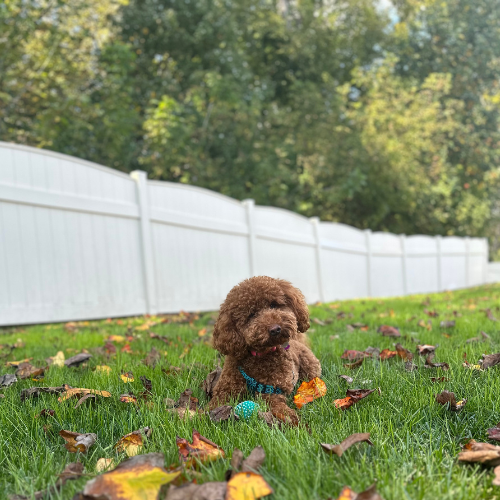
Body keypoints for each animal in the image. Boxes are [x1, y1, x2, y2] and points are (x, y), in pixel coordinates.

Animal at [209, 276, 322, 424]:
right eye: (251, 315)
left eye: (273, 305)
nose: (275, 329)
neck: (260, 356)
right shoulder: (225, 389)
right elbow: (214, 403)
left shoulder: (272, 390)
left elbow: (276, 404)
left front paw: (290, 418)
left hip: (310, 369)